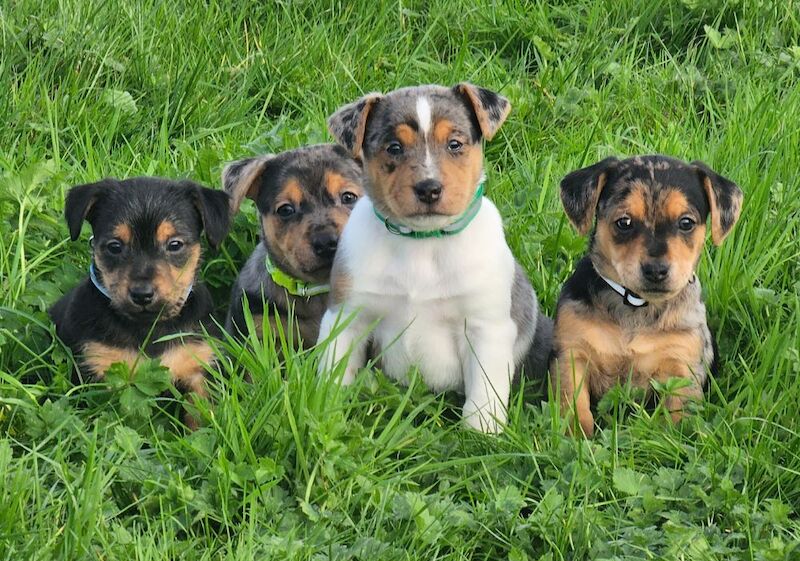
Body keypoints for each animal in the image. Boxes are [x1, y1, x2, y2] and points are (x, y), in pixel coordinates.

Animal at [49, 175, 231, 424]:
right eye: (115, 246)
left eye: (175, 244)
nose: (142, 294)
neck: (148, 327)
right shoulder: (97, 370)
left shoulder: (200, 368)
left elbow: (202, 416)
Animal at [316, 84, 552, 434]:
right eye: (394, 147)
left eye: (454, 144)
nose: (429, 188)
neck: (422, 242)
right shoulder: (348, 316)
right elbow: (334, 372)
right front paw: (325, 411)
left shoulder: (486, 328)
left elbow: (484, 391)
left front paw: (480, 433)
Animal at [552, 155, 744, 436]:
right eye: (624, 222)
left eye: (686, 223)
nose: (656, 270)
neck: (636, 305)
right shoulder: (572, 353)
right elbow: (572, 404)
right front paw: (574, 437)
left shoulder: (682, 366)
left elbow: (679, 418)